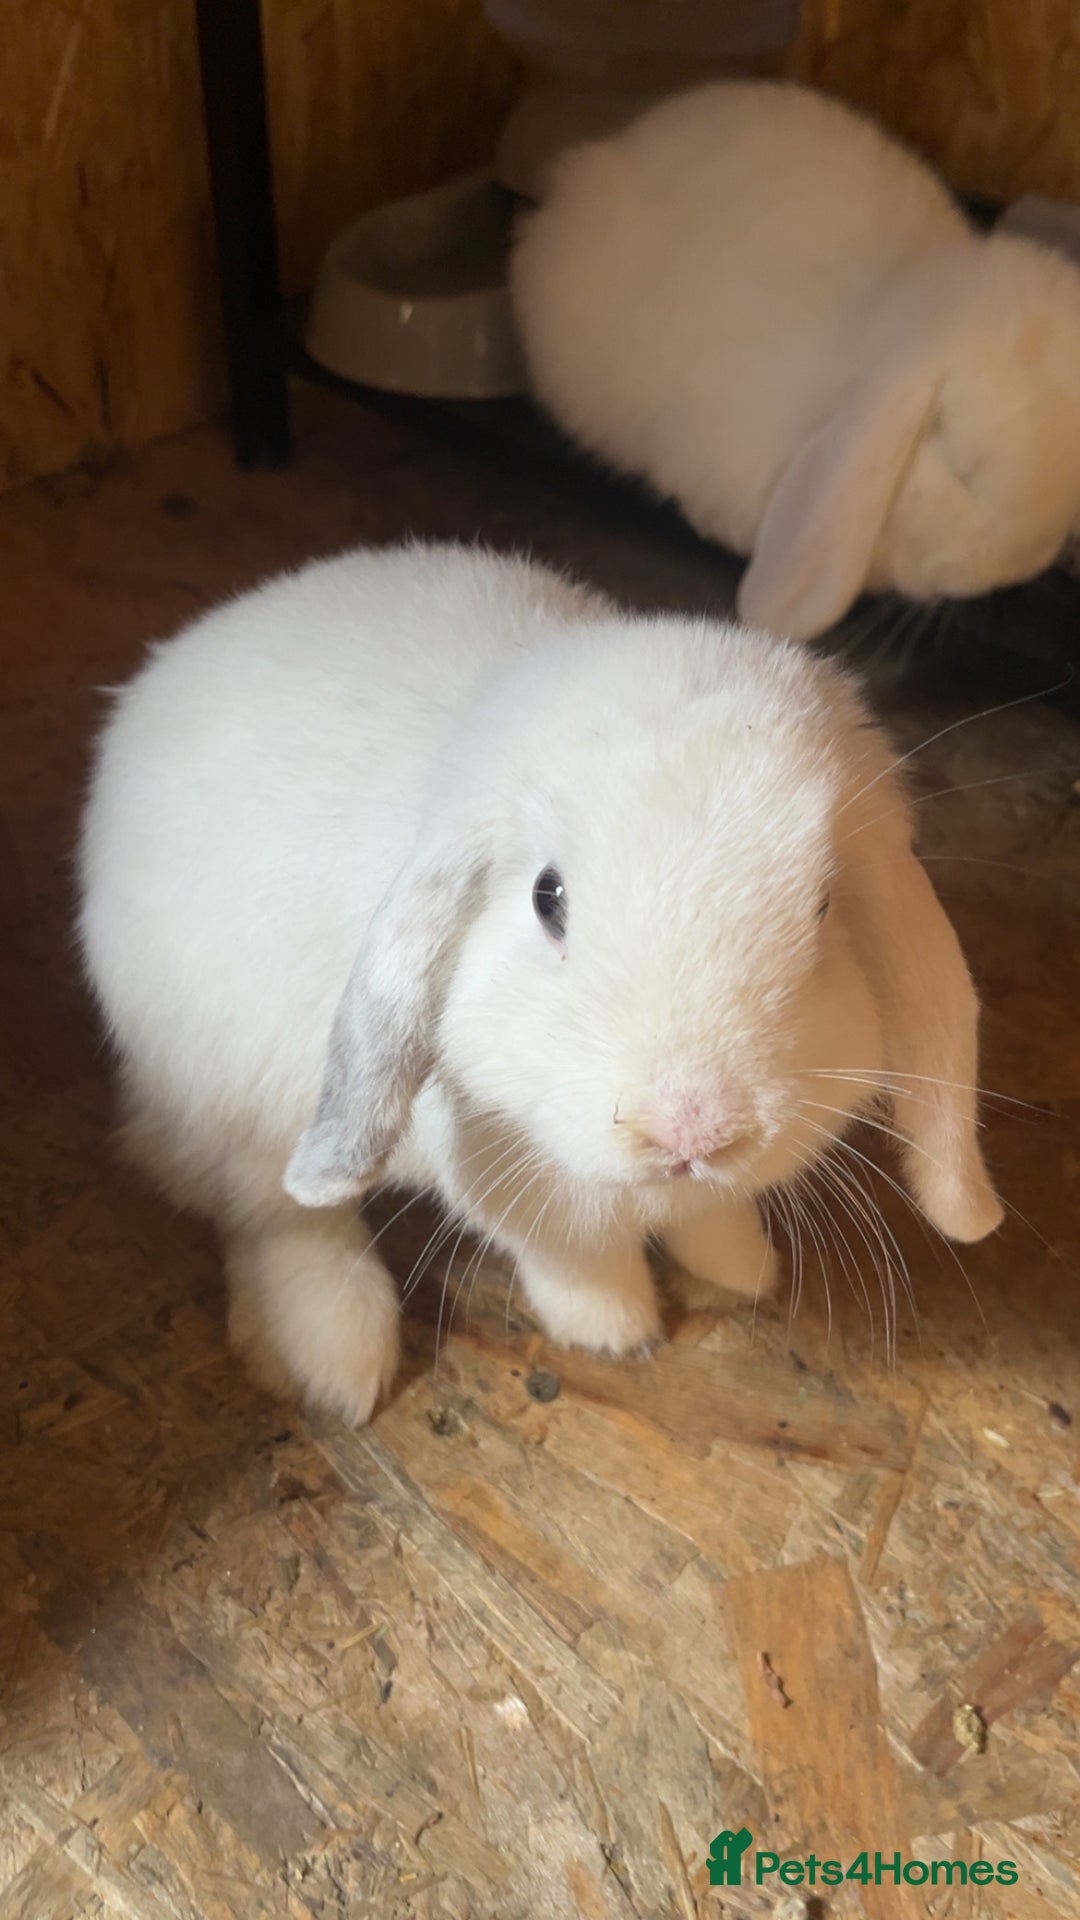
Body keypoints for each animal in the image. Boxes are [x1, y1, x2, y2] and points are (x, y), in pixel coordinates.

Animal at [78, 540, 1002, 1425]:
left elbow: (707, 1216)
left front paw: (741, 1266)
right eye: (546, 898)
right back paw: (334, 1361)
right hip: (245, 1107)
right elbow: (577, 1260)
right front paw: (618, 1333)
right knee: (270, 1212)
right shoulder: (518, 1184)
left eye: (822, 906)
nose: (690, 1131)